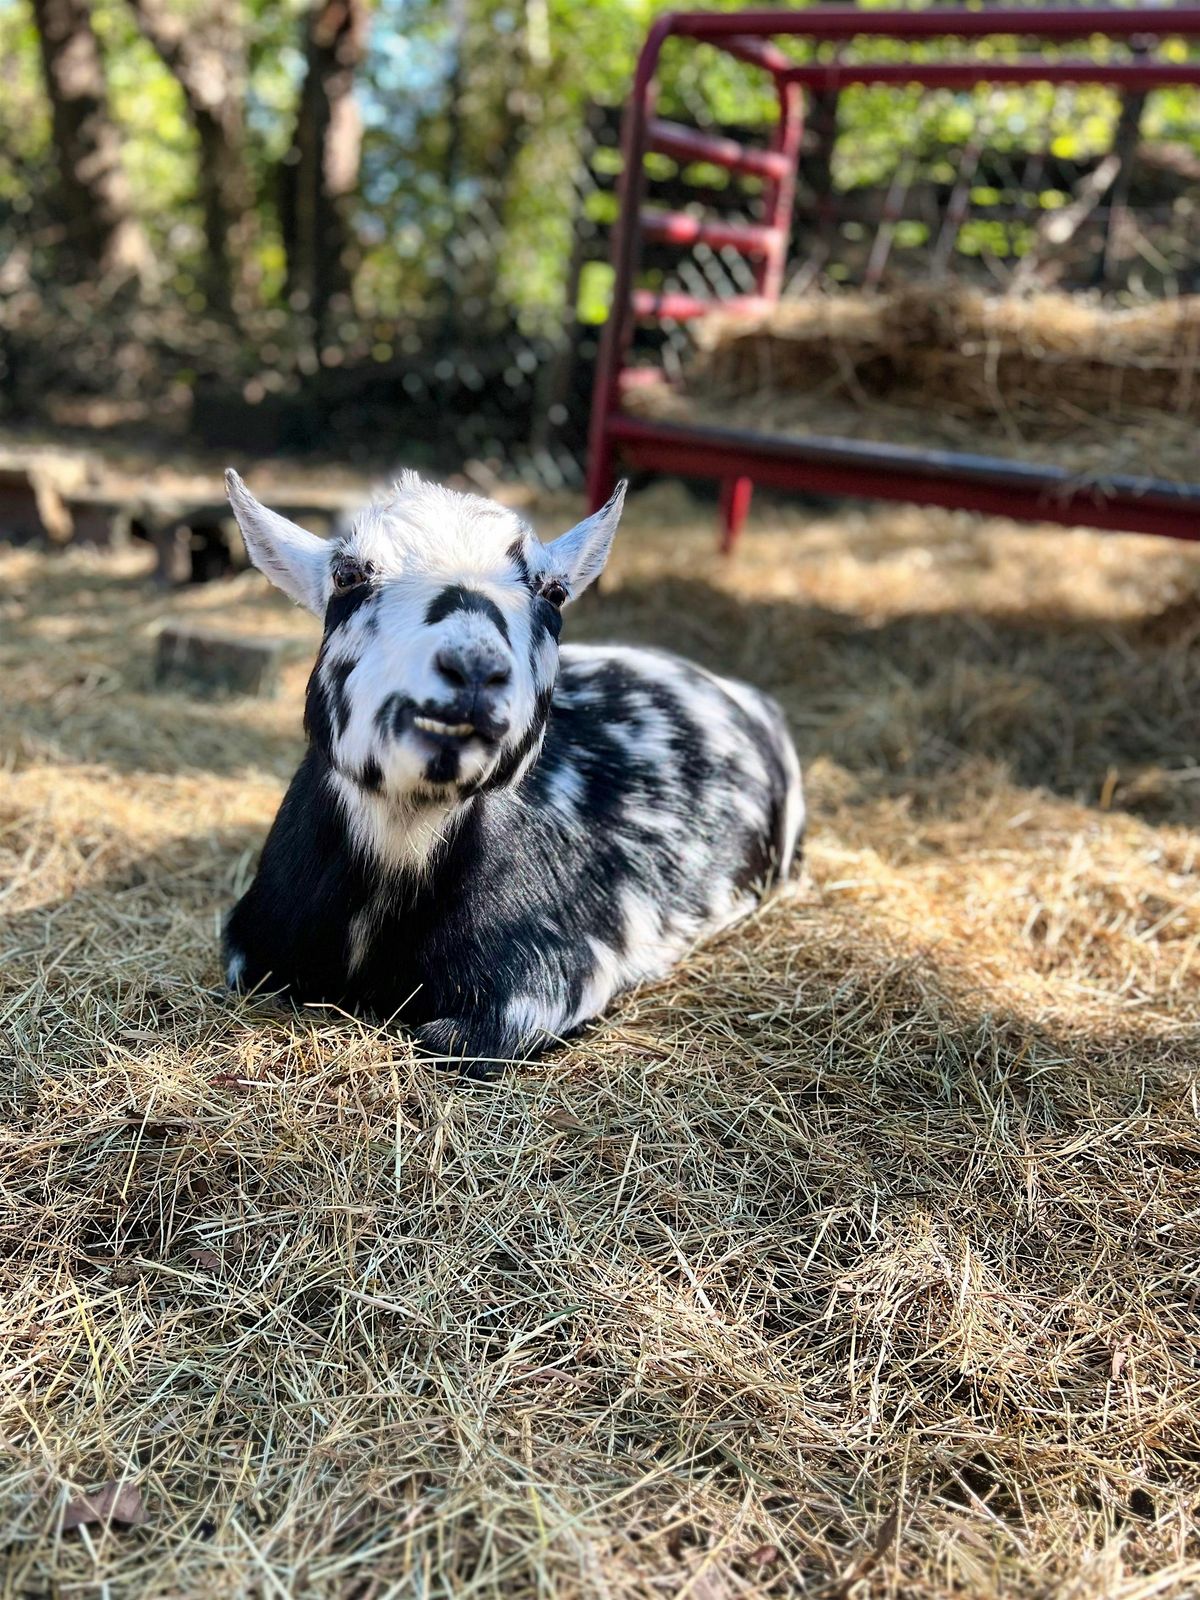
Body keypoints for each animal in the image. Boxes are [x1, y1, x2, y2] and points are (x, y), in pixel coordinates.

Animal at [223, 469, 804, 1073]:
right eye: (347, 575)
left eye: (554, 592)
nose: (474, 668)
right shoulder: (250, 948)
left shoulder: (545, 983)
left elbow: (449, 1042)